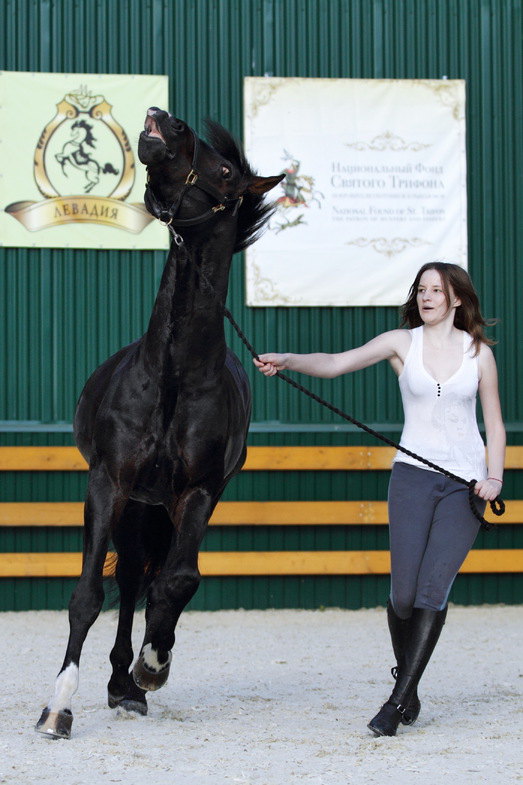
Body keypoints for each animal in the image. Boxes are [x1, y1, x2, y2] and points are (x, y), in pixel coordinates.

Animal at [36, 107, 284, 740]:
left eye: (226, 171)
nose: (163, 122)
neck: (173, 378)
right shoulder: (107, 483)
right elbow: (87, 595)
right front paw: (58, 708)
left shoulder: (198, 493)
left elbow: (179, 581)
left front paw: (153, 665)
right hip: (134, 506)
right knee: (127, 581)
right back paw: (118, 683)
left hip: (159, 508)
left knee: (150, 581)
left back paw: (132, 681)